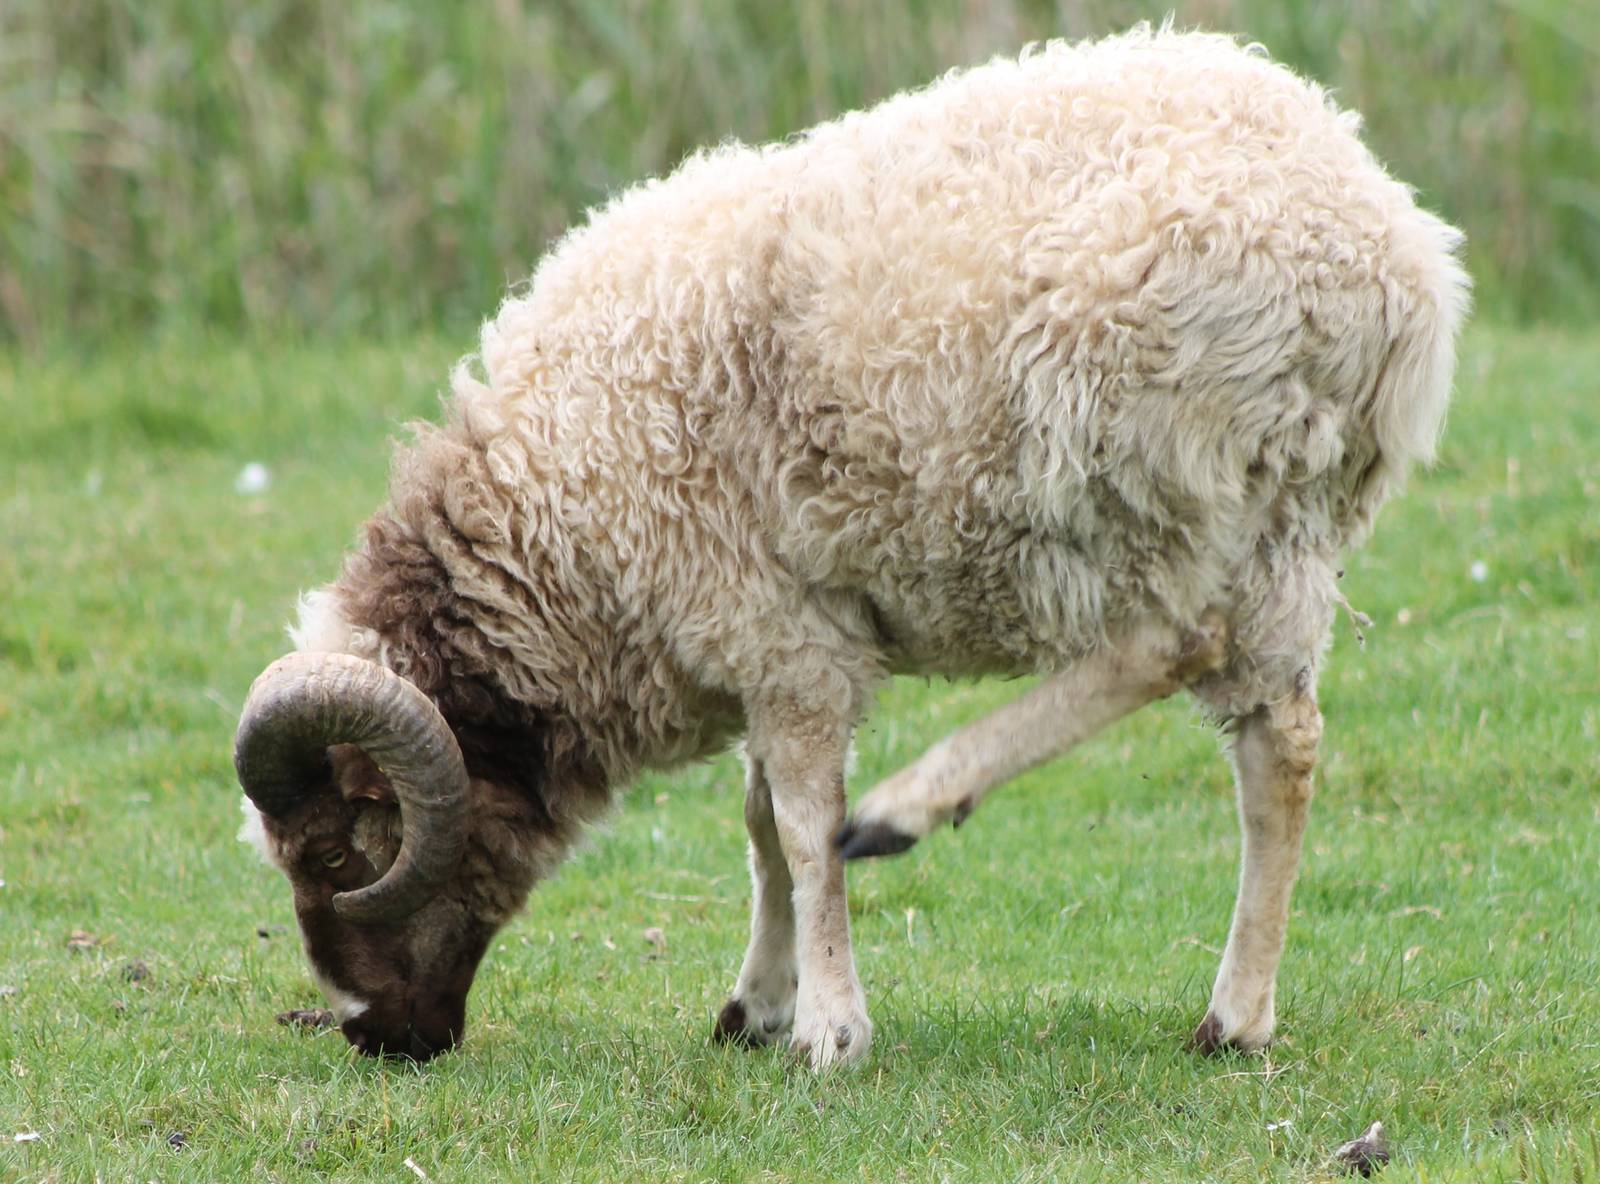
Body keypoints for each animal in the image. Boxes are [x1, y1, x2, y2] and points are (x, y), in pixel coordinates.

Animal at [235, 25, 1469, 1069]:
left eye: (340, 856)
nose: (382, 1036)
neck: (558, 538)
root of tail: (1394, 256)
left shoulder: (779, 630)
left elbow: (798, 823)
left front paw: (829, 1027)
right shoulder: (771, 640)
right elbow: (759, 823)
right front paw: (758, 1003)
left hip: (1144, 459)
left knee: (1166, 642)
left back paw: (913, 804)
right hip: (1287, 520)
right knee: (1279, 746)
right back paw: (1236, 1016)